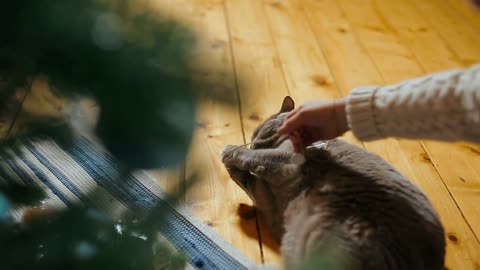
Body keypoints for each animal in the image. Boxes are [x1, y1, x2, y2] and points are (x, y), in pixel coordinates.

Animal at [221, 97, 446, 270]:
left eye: (260, 130)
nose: (252, 141)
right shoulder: (269, 201)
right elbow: (247, 180)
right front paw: (230, 161)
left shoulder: (285, 160)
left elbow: (254, 158)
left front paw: (229, 150)